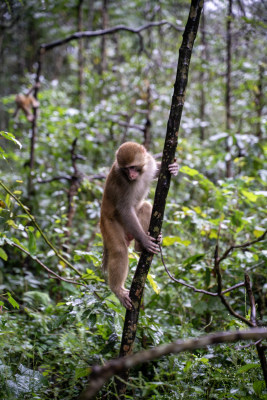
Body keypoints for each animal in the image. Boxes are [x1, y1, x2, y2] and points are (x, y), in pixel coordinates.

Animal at [101, 141, 180, 310]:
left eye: (132, 167)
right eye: (126, 169)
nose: (131, 175)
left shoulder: (148, 164)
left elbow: (156, 170)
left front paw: (173, 168)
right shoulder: (123, 182)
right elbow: (125, 209)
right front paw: (145, 240)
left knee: (146, 207)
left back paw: (140, 246)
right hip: (109, 225)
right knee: (119, 249)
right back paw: (117, 289)